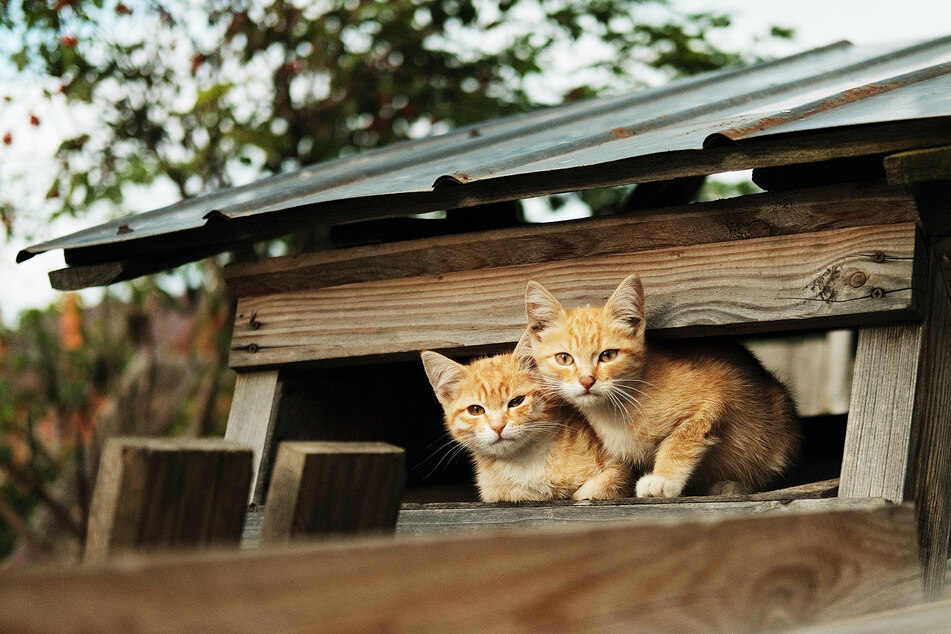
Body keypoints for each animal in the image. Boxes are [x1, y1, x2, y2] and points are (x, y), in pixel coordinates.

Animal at [422, 338, 632, 502]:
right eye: (475, 410)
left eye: (516, 401)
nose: (498, 426)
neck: (525, 464)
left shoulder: (618, 468)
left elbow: (596, 488)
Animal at [524, 274, 800, 496]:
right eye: (564, 358)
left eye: (608, 355)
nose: (586, 380)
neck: (614, 412)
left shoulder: (718, 390)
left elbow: (680, 440)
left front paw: (663, 479)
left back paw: (732, 485)